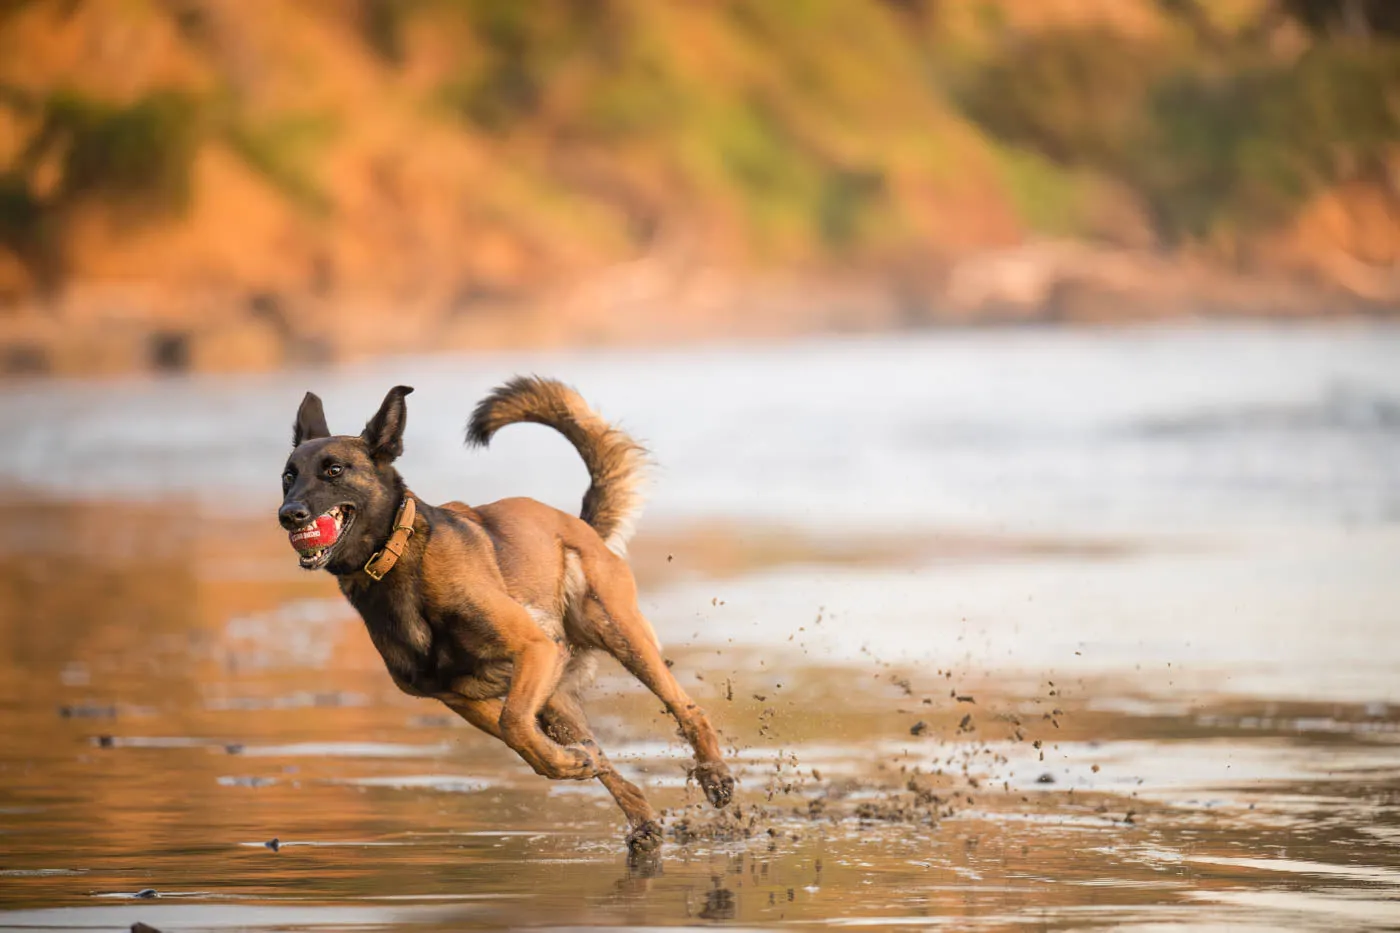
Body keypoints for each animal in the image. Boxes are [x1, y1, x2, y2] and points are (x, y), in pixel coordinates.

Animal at [274, 375, 733, 851]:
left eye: (334, 470)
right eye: (288, 476)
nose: (289, 515)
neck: (396, 558)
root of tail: (580, 524)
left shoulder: (534, 648)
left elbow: (514, 725)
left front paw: (568, 764)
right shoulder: (460, 697)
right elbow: (526, 741)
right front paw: (570, 764)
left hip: (619, 635)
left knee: (686, 708)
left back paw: (715, 777)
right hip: (556, 700)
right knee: (604, 757)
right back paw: (637, 817)